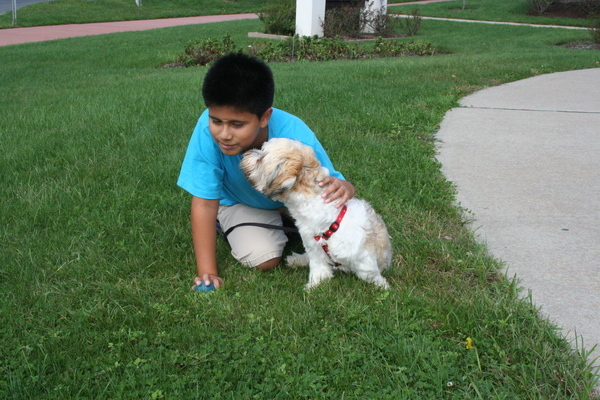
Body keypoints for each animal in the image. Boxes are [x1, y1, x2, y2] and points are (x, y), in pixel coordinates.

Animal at [241, 139, 392, 290]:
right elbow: (319, 270)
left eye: (261, 158)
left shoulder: (363, 254)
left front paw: (382, 286)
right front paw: (314, 285)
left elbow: (370, 273)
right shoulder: (314, 248)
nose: (248, 152)